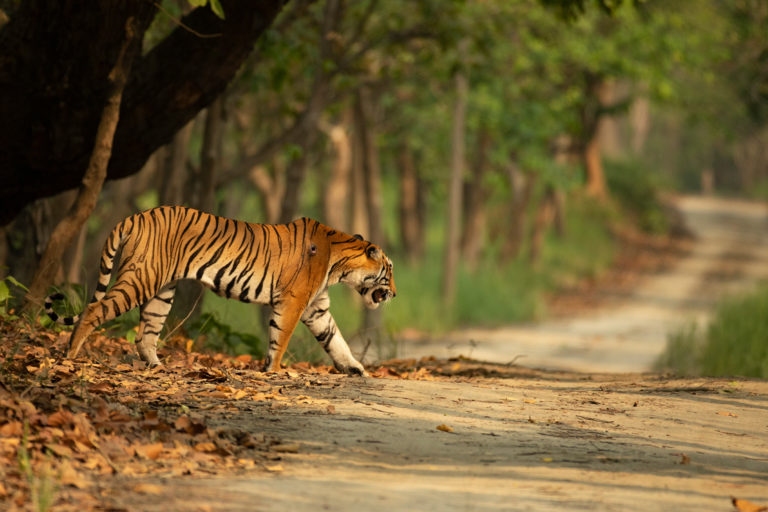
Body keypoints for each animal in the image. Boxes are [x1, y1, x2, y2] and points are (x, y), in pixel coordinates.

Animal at [43, 205, 396, 376]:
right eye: (389, 273)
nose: (394, 293)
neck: (339, 264)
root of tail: (134, 216)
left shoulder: (316, 307)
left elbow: (335, 339)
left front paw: (355, 368)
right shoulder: (294, 301)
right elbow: (280, 338)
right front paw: (274, 371)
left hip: (162, 292)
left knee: (145, 334)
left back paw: (159, 367)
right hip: (141, 278)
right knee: (94, 310)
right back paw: (70, 356)